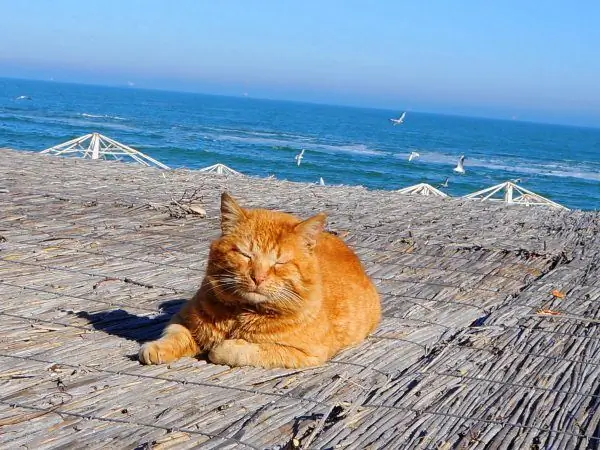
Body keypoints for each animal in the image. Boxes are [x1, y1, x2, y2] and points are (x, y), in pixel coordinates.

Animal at [139, 192, 380, 368]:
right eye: (245, 254)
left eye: (279, 262)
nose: (258, 277)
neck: (240, 314)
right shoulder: (182, 319)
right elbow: (174, 334)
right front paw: (156, 348)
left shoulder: (304, 354)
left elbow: (241, 349)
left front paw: (221, 347)